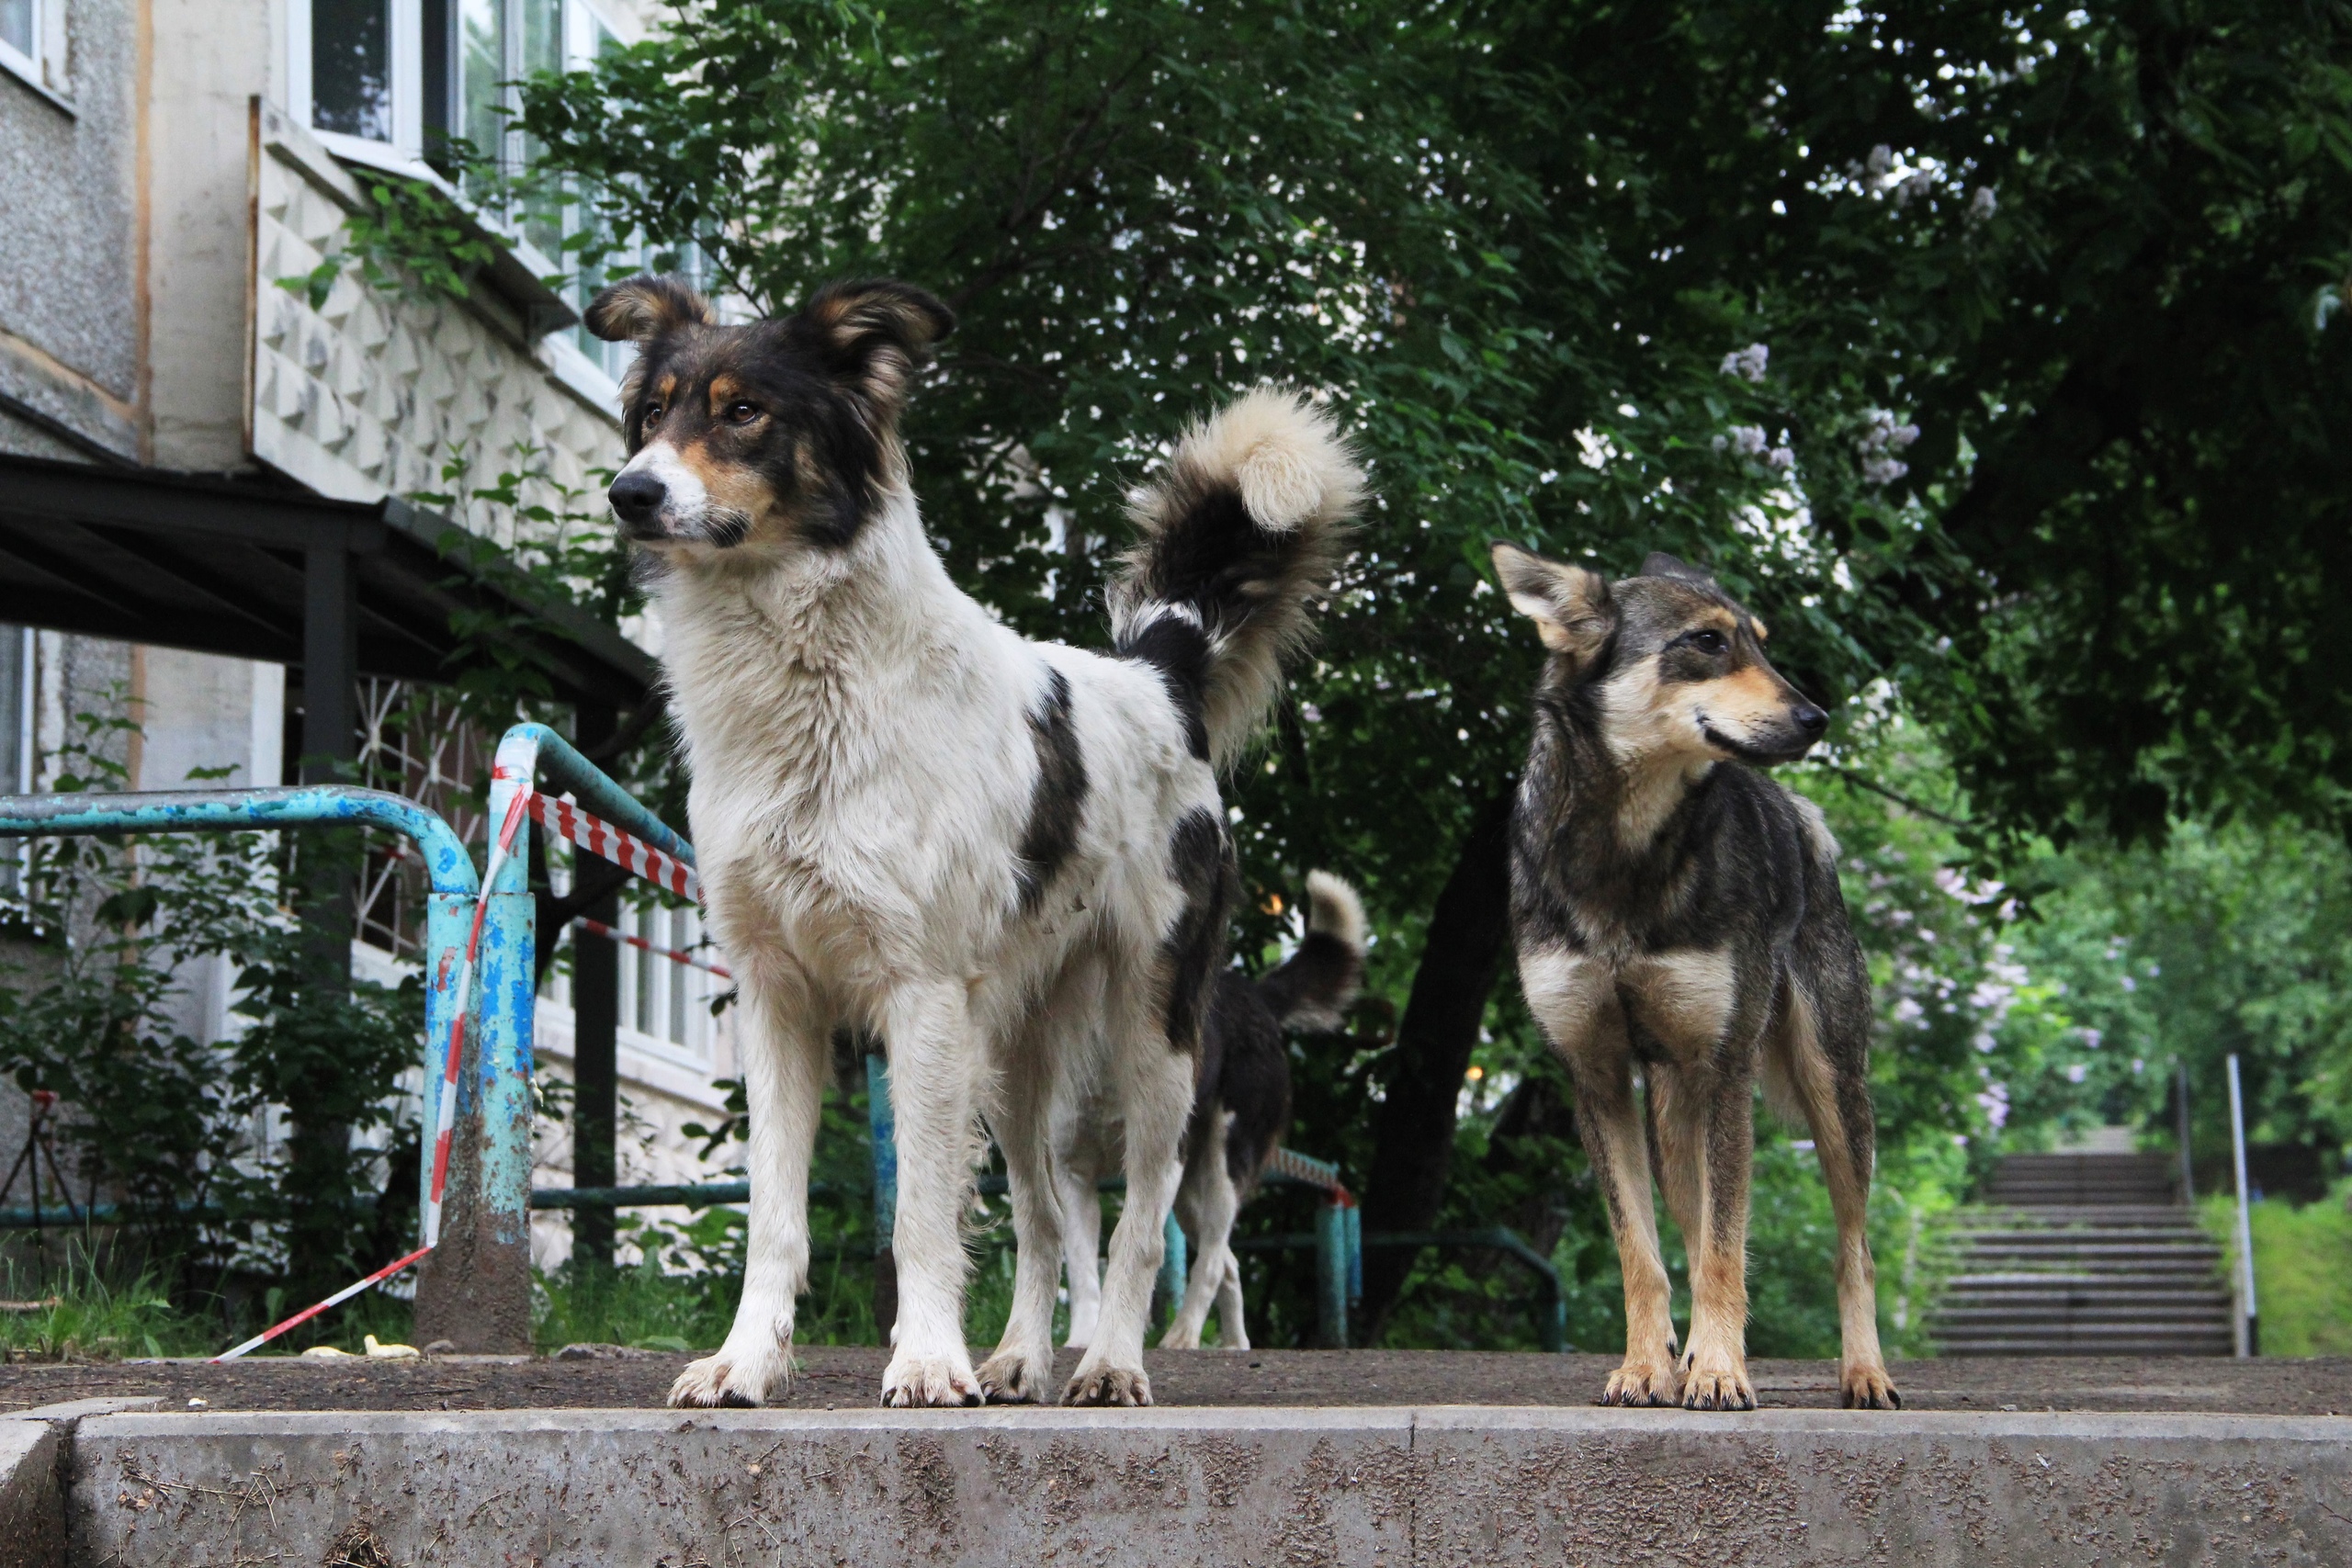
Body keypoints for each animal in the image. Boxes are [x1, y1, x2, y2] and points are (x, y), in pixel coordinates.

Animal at [1058, 864, 1374, 1354]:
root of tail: (1256, 995)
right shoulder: (1071, 1171)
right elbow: (1081, 1268)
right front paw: (1081, 1340)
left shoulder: (1163, 1163)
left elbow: (1134, 1248)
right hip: (1191, 1195)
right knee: (1227, 1262)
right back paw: (1234, 1345)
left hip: (1223, 1165)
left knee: (1209, 1262)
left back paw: (1184, 1335)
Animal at [1496, 545, 1900, 1419]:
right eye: (1709, 642)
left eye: (1760, 643)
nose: (1816, 717)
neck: (1622, 855)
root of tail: (1800, 814)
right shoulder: (1596, 1078)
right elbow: (1643, 1255)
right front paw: (1646, 1368)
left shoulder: (1727, 1072)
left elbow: (1725, 1251)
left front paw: (1719, 1371)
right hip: (1675, 1118)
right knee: (1687, 1223)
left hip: (1834, 1095)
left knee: (1853, 1249)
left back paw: (1865, 1372)